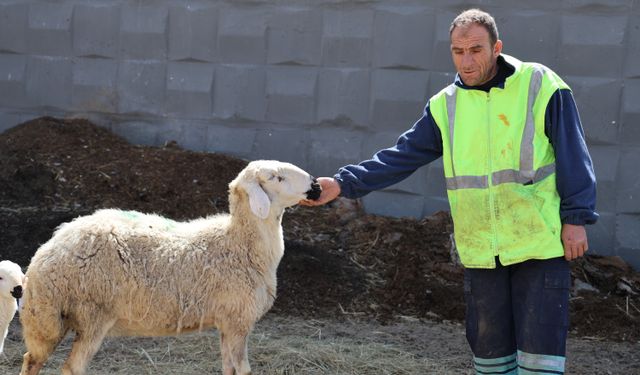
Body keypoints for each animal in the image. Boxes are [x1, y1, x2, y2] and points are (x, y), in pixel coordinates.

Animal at [19, 162, 322, 375]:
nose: (316, 185)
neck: (238, 242)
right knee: (71, 367)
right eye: (276, 177)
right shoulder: (238, 320)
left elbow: (228, 368)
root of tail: (46, 252)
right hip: (90, 314)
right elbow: (243, 370)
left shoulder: (226, 321)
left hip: (47, 320)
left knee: (31, 360)